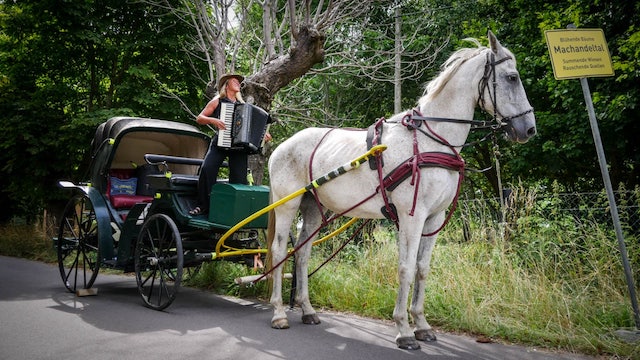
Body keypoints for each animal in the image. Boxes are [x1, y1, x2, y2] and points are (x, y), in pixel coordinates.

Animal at [264, 29, 536, 350]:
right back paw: (279, 313)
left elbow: (422, 269)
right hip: (287, 205)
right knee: (279, 249)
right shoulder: (411, 217)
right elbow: (405, 268)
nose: (529, 129)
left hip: (314, 209)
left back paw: (307, 310)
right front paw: (404, 329)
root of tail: (281, 146)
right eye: (512, 78)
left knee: (303, 252)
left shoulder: (434, 218)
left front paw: (422, 324)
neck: (432, 140)